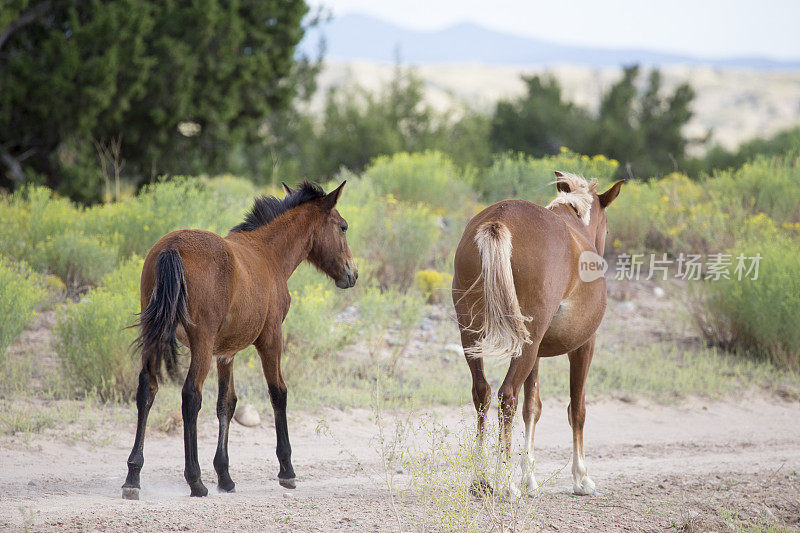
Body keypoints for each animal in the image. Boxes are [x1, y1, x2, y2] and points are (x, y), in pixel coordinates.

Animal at [121, 180, 356, 498]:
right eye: (343, 227)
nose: (352, 273)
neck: (267, 253)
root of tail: (172, 247)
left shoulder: (225, 353)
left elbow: (226, 404)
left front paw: (225, 476)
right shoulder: (271, 337)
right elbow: (278, 393)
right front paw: (287, 471)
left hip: (154, 335)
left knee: (148, 388)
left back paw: (133, 476)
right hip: (201, 342)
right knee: (191, 396)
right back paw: (195, 481)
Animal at [454, 172, 620, 496]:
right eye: (607, 226)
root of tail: (500, 219)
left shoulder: (537, 352)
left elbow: (532, 407)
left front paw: (529, 477)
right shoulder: (585, 345)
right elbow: (577, 408)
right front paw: (581, 478)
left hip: (474, 336)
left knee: (483, 393)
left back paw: (480, 479)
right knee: (507, 396)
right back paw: (506, 484)